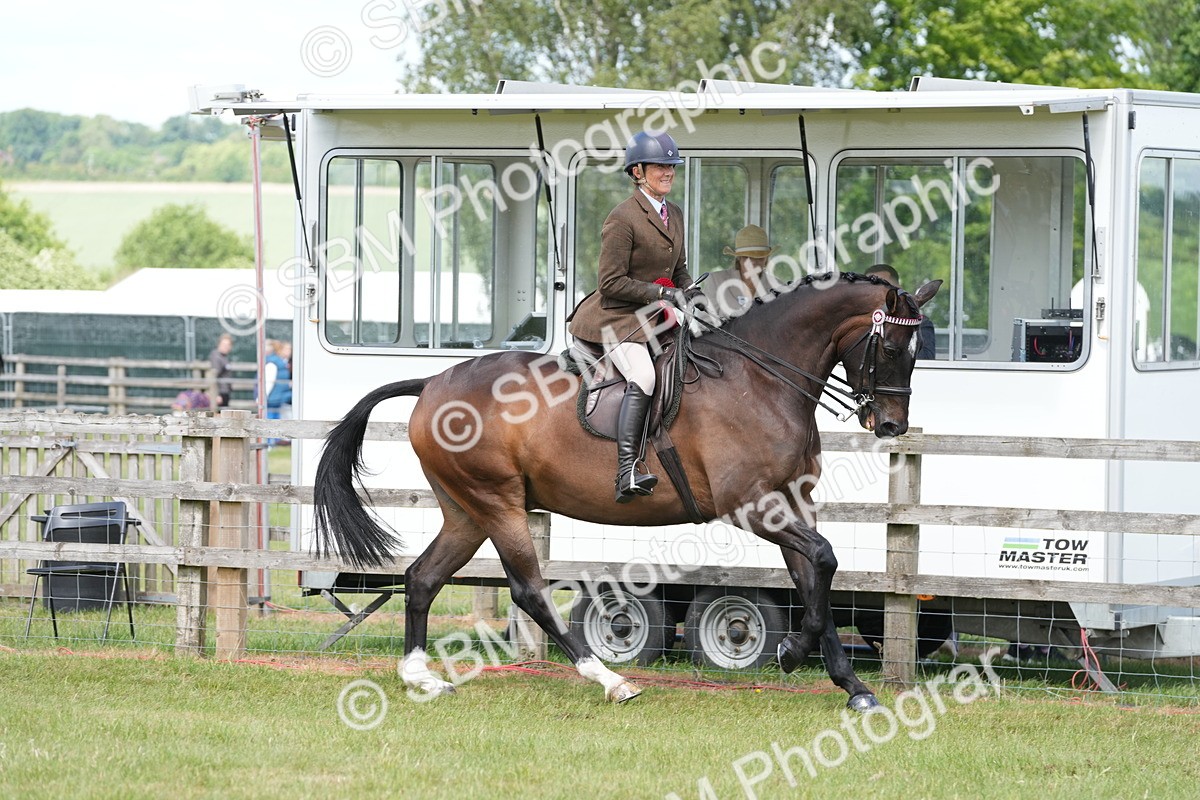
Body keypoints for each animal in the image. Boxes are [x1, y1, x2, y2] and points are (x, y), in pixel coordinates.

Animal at [314, 271, 941, 711]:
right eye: (891, 349)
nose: (891, 425)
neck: (761, 378)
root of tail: (433, 382)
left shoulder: (791, 500)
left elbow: (814, 577)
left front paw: (851, 685)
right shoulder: (751, 506)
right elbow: (824, 561)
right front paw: (791, 652)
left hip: (466, 511)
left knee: (422, 578)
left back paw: (419, 676)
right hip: (497, 503)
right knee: (530, 592)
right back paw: (611, 680)